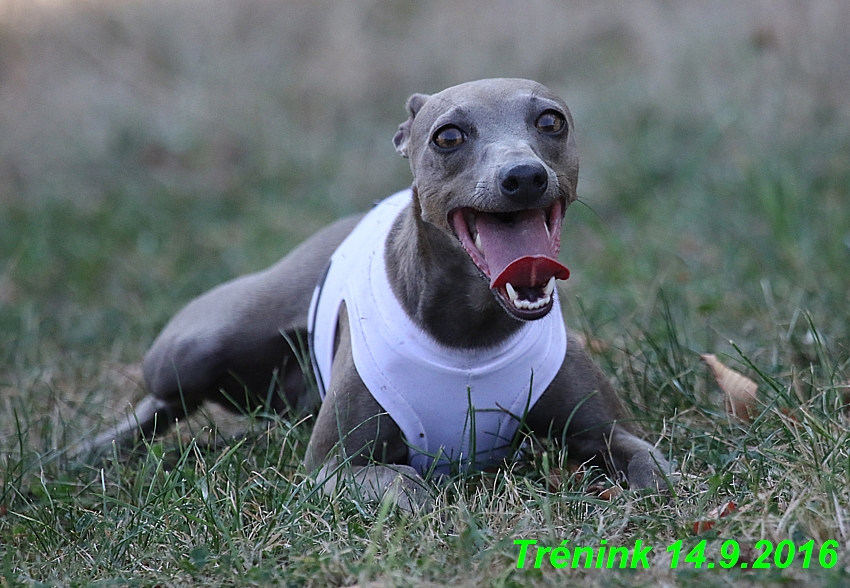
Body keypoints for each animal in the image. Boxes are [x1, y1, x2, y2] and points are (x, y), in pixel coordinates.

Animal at [83, 79, 672, 510]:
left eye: (551, 121)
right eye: (448, 136)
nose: (524, 176)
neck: (471, 332)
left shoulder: (611, 432)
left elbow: (654, 468)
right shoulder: (333, 465)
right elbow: (405, 484)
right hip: (196, 347)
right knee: (163, 400)